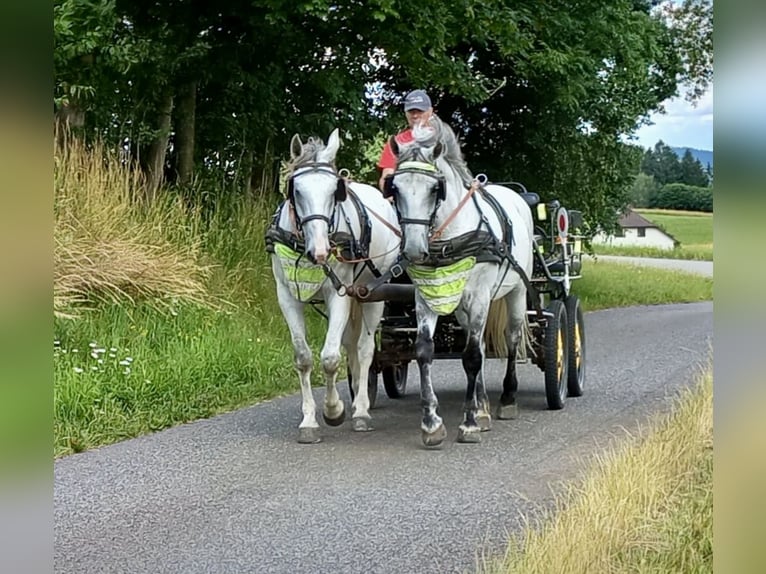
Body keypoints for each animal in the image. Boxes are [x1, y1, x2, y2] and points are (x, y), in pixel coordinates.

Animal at [268, 129, 402, 446]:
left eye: (334, 192)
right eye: (296, 190)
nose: (319, 252)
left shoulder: (340, 293)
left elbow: (329, 358)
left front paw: (333, 410)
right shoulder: (287, 296)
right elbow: (304, 357)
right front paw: (308, 421)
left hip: (373, 294)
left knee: (365, 350)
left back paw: (362, 411)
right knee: (351, 346)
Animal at [388, 118, 536, 450]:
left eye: (435, 188)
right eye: (395, 188)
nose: (414, 249)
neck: (450, 236)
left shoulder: (480, 295)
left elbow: (470, 357)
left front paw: (468, 424)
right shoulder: (428, 296)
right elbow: (425, 351)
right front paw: (432, 424)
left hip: (516, 293)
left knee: (510, 339)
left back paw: (507, 399)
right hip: (463, 307)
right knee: (477, 341)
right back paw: (482, 408)